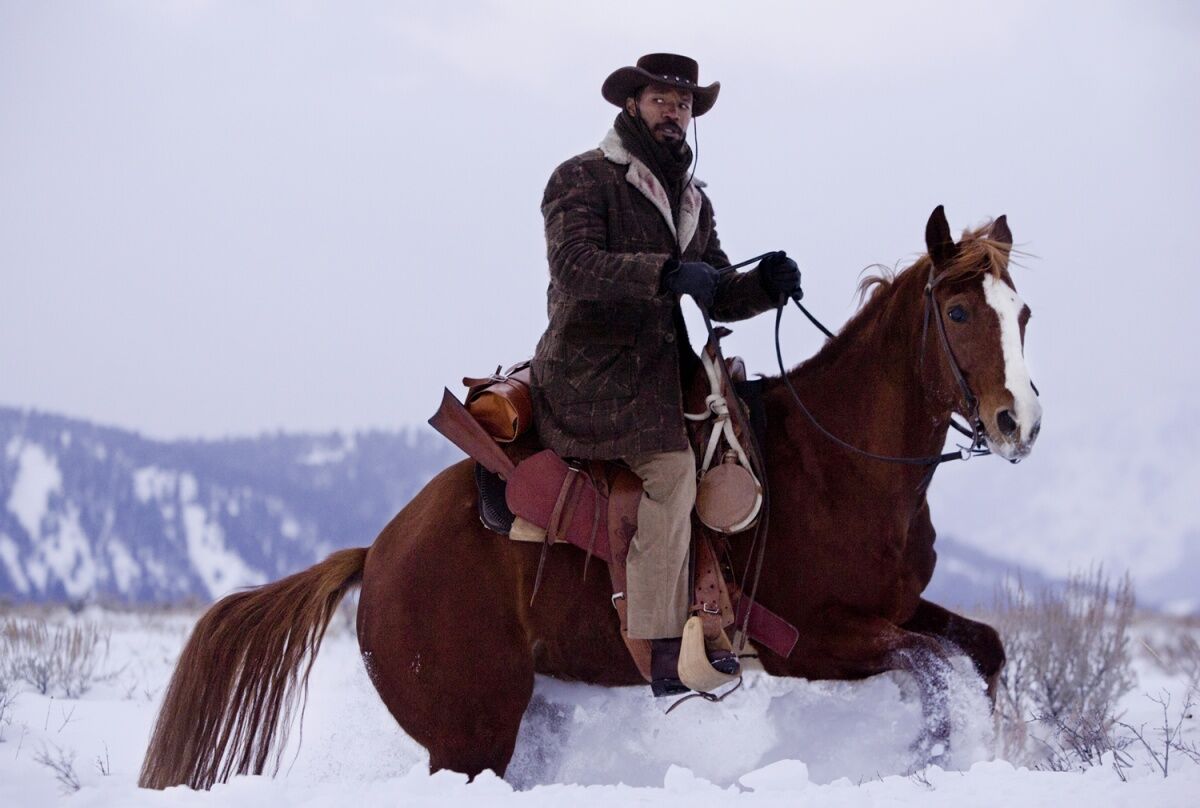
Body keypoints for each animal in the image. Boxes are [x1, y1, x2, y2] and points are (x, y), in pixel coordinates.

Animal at [138, 206, 1041, 787]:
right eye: (958, 311)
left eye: (1023, 311)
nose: (1017, 422)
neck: (837, 463)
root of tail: (379, 554)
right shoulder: (811, 641)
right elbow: (933, 670)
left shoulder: (896, 608)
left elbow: (983, 651)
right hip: (469, 734)